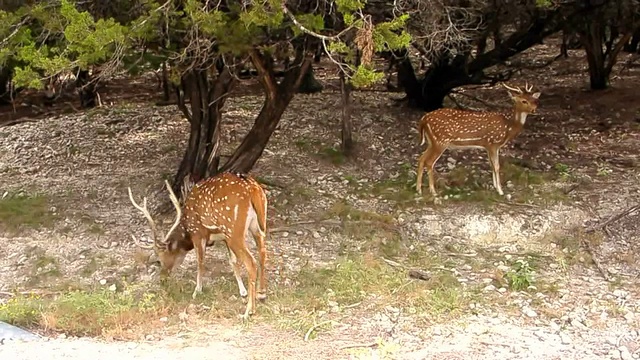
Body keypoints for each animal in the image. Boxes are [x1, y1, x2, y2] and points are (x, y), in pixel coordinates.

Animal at [127, 172, 268, 320]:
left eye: (159, 260)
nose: (162, 279)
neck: (187, 230)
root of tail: (254, 190)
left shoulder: (198, 233)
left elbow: (200, 262)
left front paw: (197, 291)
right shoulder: (222, 237)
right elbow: (233, 261)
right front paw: (242, 291)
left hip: (233, 229)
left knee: (251, 262)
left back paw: (248, 311)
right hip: (256, 227)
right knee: (262, 252)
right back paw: (261, 294)